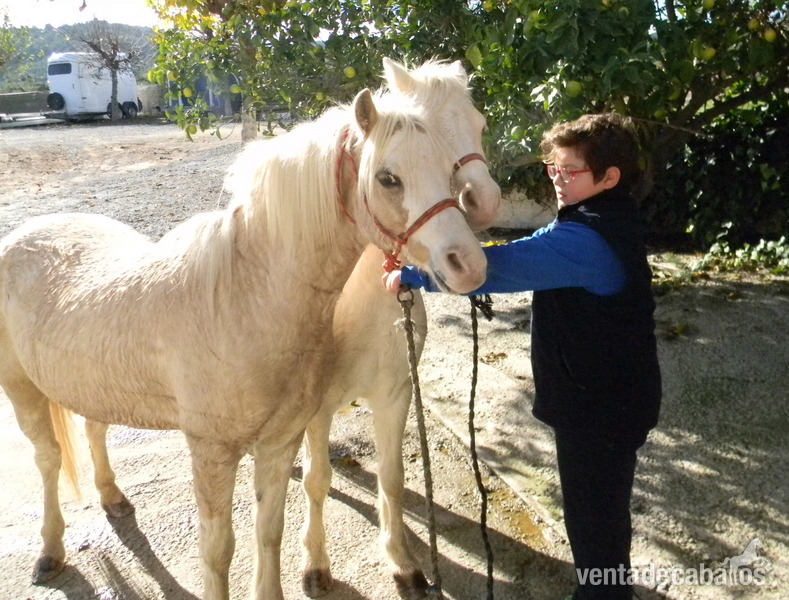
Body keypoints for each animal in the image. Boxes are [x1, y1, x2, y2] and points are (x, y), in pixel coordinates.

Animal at [0, 89, 487, 600]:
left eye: (449, 167)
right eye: (387, 177)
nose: (469, 265)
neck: (244, 298)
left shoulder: (281, 441)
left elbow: (268, 532)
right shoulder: (212, 452)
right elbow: (217, 552)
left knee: (93, 428)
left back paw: (113, 498)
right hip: (21, 390)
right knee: (48, 459)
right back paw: (49, 552)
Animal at [299, 59, 501, 599]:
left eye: (478, 125)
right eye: (388, 178)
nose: (486, 202)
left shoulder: (394, 395)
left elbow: (390, 478)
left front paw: (403, 561)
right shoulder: (316, 410)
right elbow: (317, 481)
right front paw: (315, 563)